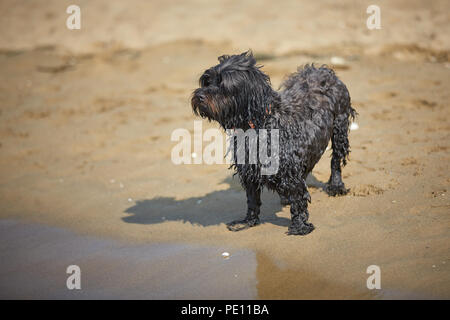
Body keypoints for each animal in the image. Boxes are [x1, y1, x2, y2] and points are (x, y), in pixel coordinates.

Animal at [190, 50, 356, 235]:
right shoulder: (250, 169)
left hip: (340, 127)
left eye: (223, 85)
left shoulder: (289, 166)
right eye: (207, 81)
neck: (260, 124)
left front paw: (300, 227)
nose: (199, 95)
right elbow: (252, 200)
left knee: (336, 160)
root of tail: (321, 70)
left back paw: (336, 186)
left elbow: (299, 197)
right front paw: (248, 221)